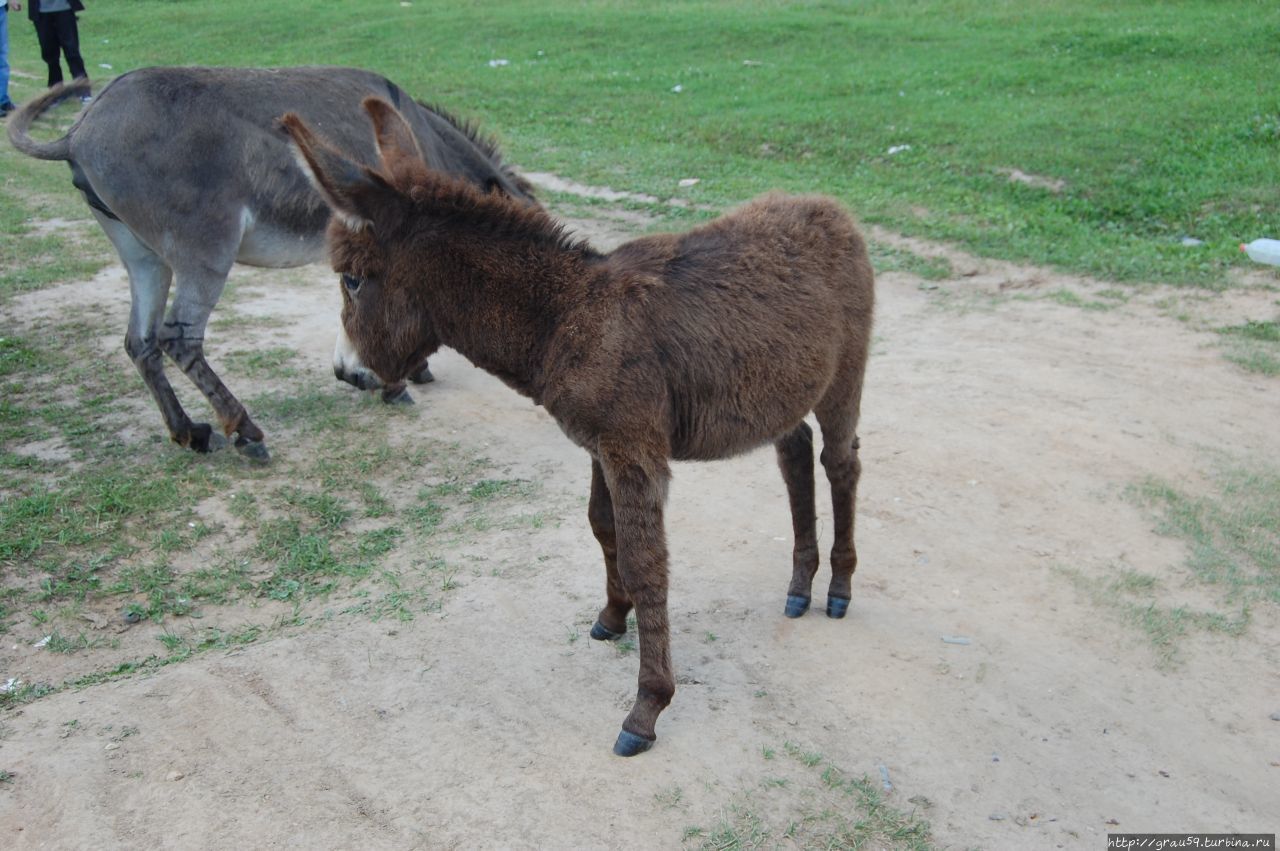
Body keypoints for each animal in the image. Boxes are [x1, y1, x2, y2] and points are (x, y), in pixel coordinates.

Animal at [284, 99, 875, 757]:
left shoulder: (633, 452)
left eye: (352, 280)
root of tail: (828, 207)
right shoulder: (599, 447)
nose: (347, 372)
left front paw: (647, 707)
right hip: (779, 388)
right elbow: (602, 527)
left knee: (840, 462)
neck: (566, 317)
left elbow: (647, 562)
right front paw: (612, 618)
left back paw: (838, 589)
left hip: (844, 374)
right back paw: (799, 584)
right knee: (795, 454)